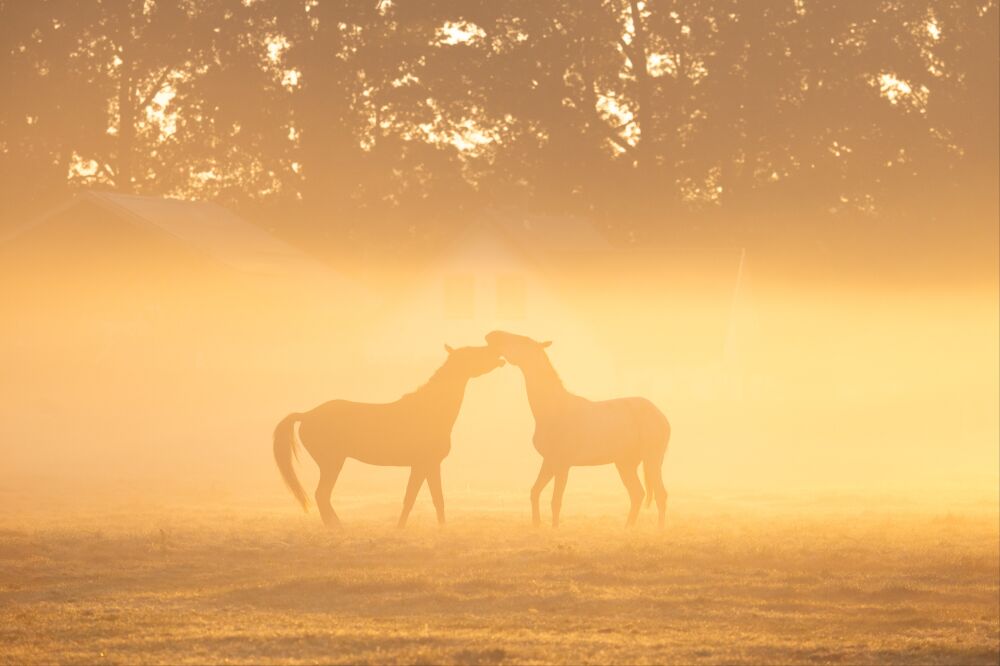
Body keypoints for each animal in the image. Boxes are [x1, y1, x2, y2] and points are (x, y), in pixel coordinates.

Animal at [486, 330, 672, 528]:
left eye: (522, 340)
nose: (492, 335)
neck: (553, 409)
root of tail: (661, 416)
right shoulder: (549, 461)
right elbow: (535, 492)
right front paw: (537, 525)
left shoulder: (562, 464)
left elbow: (556, 501)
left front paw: (554, 529)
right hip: (625, 463)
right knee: (637, 493)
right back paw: (627, 528)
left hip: (651, 459)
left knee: (660, 494)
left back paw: (659, 530)